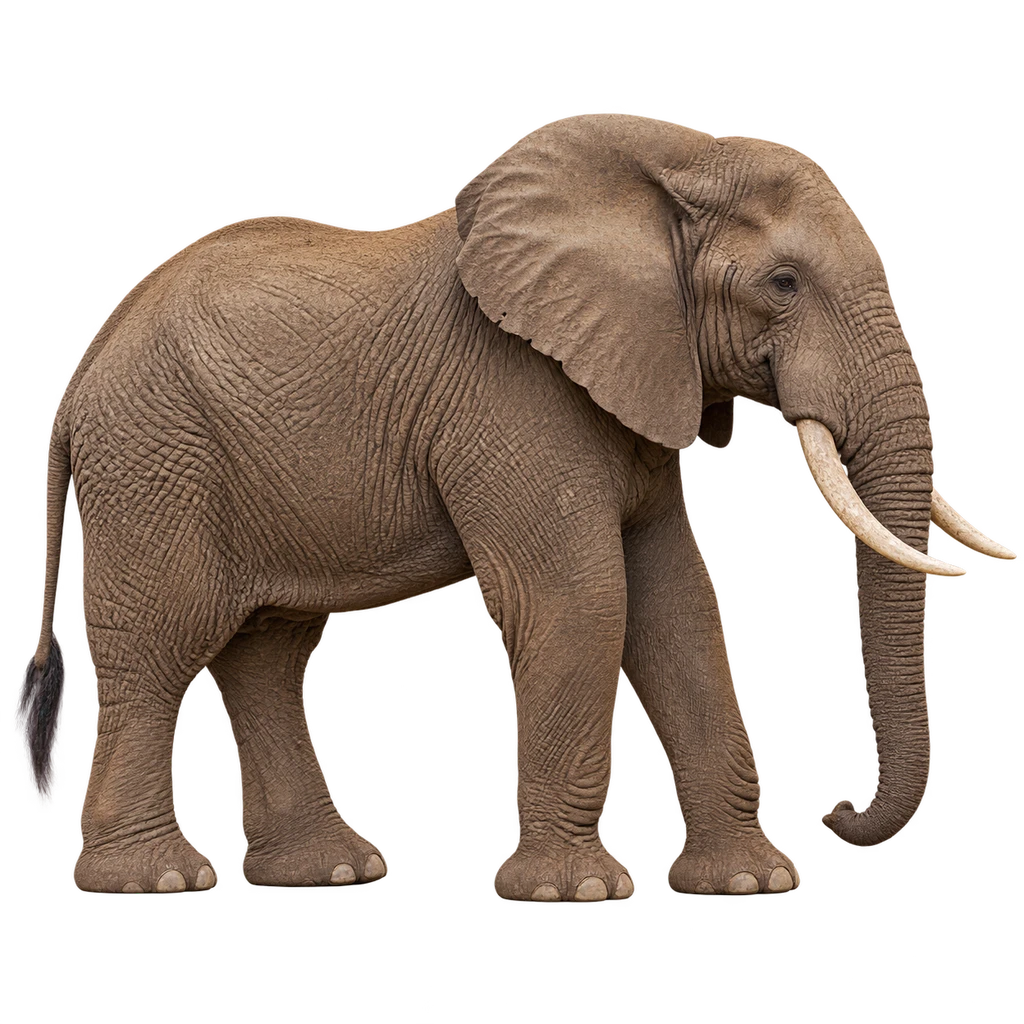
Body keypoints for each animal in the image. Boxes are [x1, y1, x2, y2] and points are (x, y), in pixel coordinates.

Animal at [15, 111, 1016, 899]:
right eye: (783, 284)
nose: (836, 805)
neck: (678, 158)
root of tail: (85, 366)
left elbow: (680, 608)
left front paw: (750, 881)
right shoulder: (509, 391)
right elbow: (583, 598)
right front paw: (575, 893)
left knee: (267, 652)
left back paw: (333, 871)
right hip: (153, 460)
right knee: (163, 644)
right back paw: (156, 877)